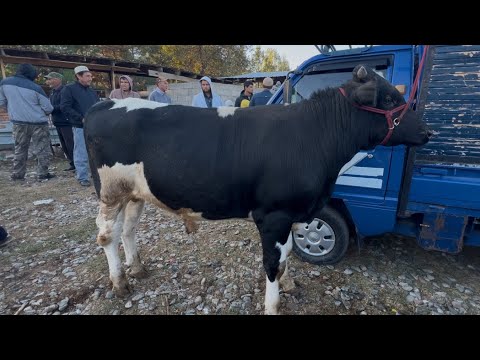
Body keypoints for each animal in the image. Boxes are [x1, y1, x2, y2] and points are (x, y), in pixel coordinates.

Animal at [83, 65, 432, 316]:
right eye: (389, 100)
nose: (427, 131)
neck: (316, 136)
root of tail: (105, 101)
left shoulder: (293, 214)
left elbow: (288, 253)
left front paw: (290, 284)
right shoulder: (273, 215)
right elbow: (272, 263)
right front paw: (273, 305)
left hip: (134, 193)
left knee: (129, 230)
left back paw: (138, 268)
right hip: (111, 193)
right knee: (107, 235)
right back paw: (120, 283)